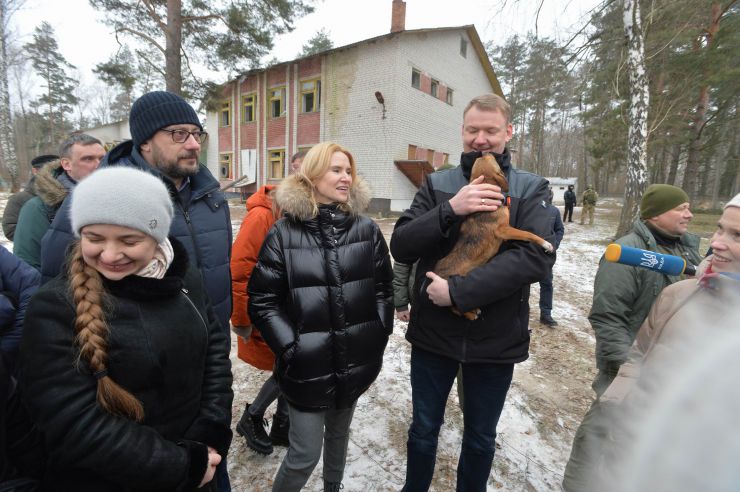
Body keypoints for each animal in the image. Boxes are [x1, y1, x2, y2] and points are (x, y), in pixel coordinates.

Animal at [436, 155, 552, 322]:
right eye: (487, 158)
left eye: (482, 158)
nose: (484, 152)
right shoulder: (504, 229)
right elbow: (528, 234)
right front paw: (545, 244)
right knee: (455, 307)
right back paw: (472, 313)